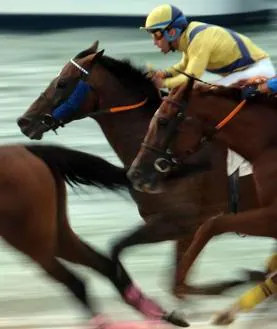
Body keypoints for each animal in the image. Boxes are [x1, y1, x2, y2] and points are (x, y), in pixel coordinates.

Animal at [0, 144, 188, 328]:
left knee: (76, 282)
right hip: (57, 236)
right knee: (104, 266)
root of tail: (26, 149)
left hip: (31, 242)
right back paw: (160, 313)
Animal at [17, 41, 264, 298]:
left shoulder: (180, 221)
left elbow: (125, 251)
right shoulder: (183, 227)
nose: (24, 121)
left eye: (62, 82)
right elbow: (177, 284)